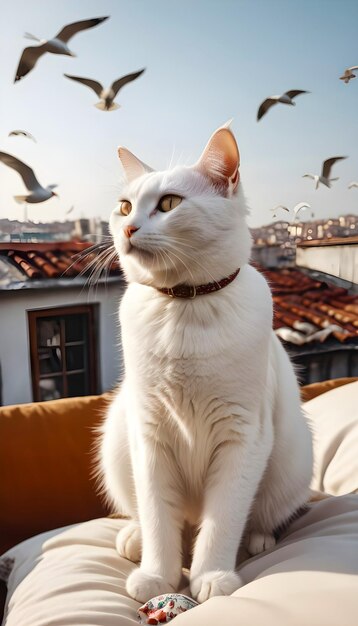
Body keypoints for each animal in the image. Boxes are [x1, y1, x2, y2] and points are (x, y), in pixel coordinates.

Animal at [98, 123, 314, 604]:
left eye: (168, 204)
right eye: (124, 206)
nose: (128, 228)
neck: (183, 305)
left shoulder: (242, 436)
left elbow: (223, 521)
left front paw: (211, 577)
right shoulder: (149, 434)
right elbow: (158, 517)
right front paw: (157, 574)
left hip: (291, 462)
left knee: (259, 516)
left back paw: (259, 539)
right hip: (116, 442)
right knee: (148, 516)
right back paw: (134, 539)